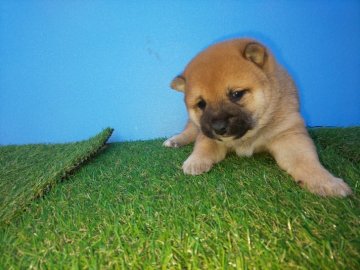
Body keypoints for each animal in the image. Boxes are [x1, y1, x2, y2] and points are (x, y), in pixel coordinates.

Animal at [165, 38, 352, 197]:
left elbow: (305, 161)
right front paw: (195, 161)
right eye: (201, 104)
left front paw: (326, 182)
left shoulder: (288, 135)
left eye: (236, 94)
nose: (218, 127)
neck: (249, 135)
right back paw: (174, 140)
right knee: (189, 130)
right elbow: (203, 145)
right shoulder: (208, 134)